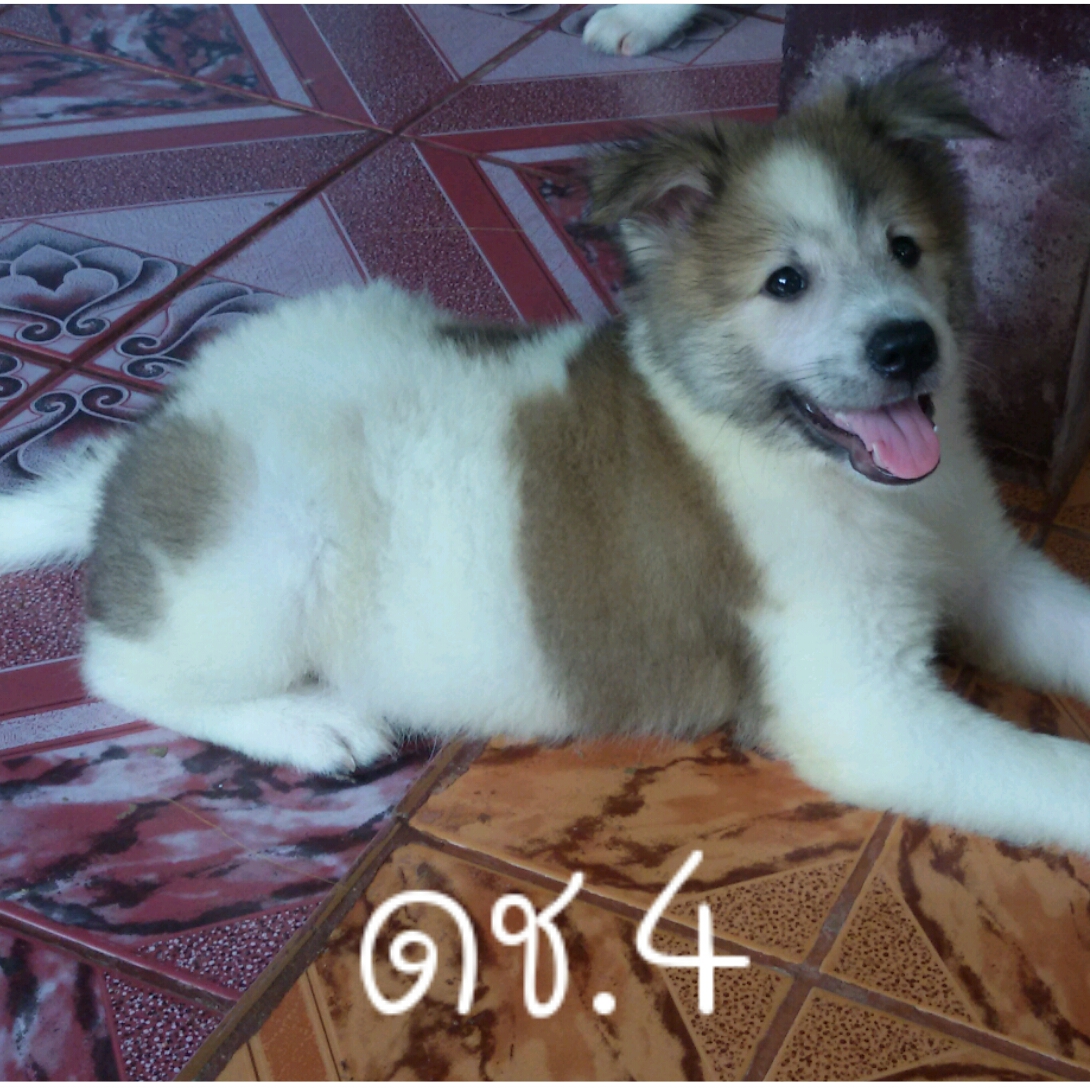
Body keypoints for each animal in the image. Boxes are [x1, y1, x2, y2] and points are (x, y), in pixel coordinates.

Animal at [5, 65, 1090, 856]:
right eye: (785, 283)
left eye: (907, 249)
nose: (908, 346)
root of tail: (156, 433)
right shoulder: (860, 703)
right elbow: (1046, 772)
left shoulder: (993, 571)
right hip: (261, 566)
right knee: (123, 669)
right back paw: (311, 727)